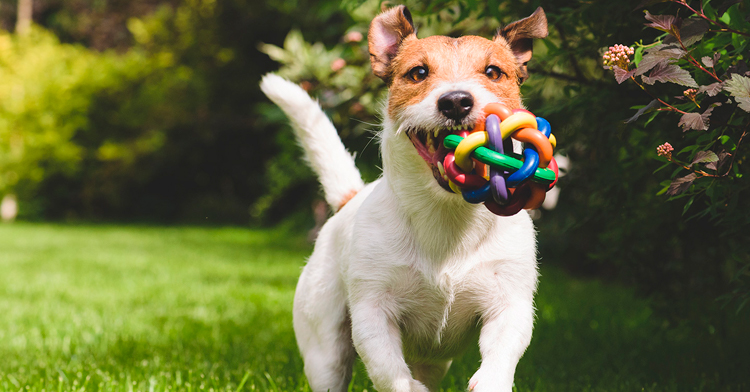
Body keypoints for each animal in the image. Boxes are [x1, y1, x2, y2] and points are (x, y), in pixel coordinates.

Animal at [262, 6, 548, 392]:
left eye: (493, 72)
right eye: (418, 73)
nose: (456, 101)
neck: (446, 217)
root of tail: (349, 200)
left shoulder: (508, 303)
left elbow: (501, 356)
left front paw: (489, 381)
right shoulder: (372, 312)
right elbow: (388, 370)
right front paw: (406, 386)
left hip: (435, 360)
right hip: (325, 348)